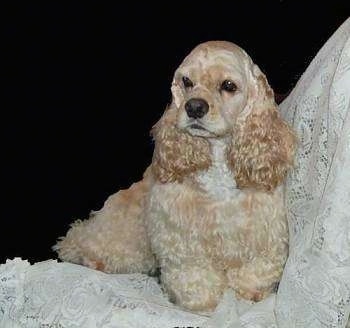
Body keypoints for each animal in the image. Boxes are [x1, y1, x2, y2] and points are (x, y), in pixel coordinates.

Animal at [54, 40, 296, 310]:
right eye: (187, 81)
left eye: (228, 86)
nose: (194, 106)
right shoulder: (181, 241)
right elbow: (195, 280)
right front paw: (206, 306)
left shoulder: (265, 234)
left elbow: (254, 272)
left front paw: (248, 297)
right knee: (87, 240)